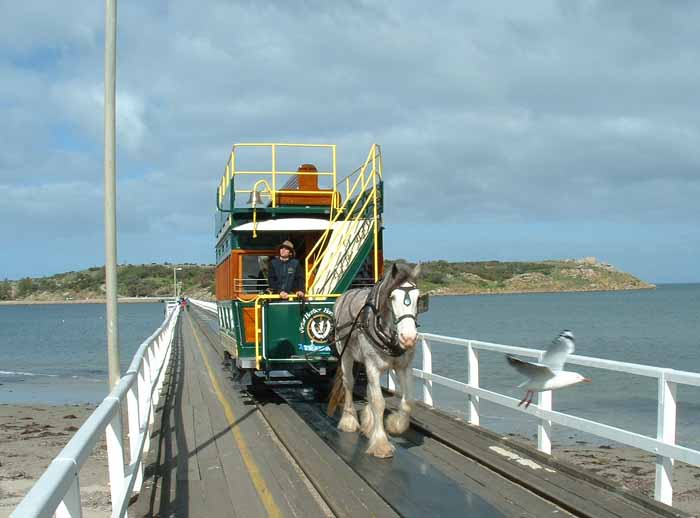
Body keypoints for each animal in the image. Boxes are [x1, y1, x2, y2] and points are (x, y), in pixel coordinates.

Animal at [328, 264, 422, 460]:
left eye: (418, 298)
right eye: (392, 297)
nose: (409, 338)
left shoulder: (404, 366)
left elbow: (408, 400)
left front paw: (395, 425)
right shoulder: (372, 365)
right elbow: (379, 402)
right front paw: (381, 444)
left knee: (369, 390)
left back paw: (369, 424)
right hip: (345, 352)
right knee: (349, 384)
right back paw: (349, 420)